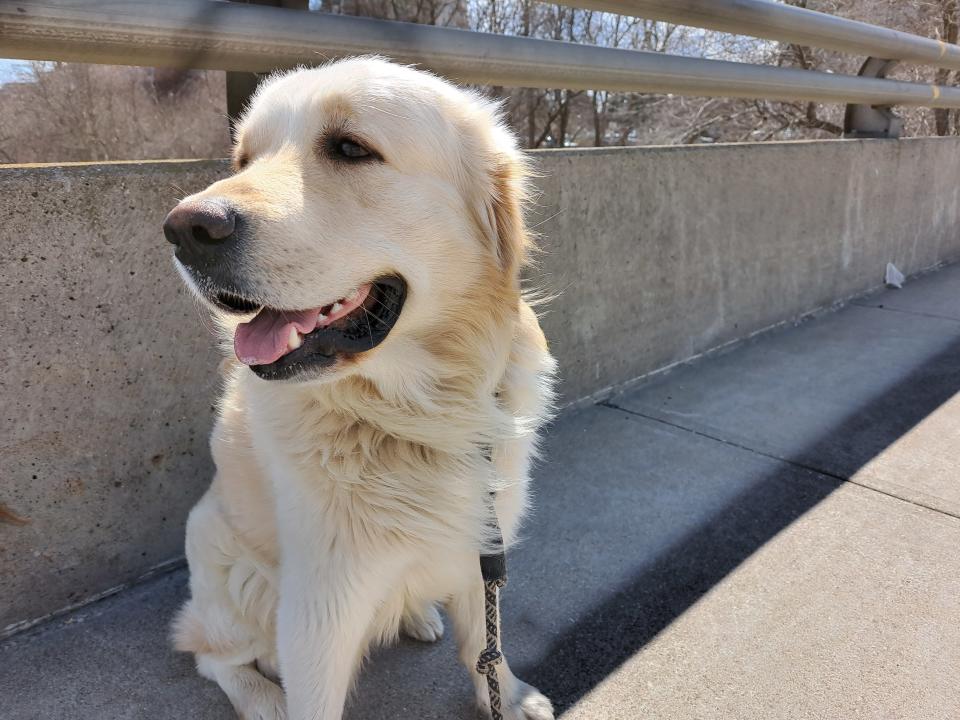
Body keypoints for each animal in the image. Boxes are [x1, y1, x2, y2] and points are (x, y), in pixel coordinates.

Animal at [164, 57, 556, 720]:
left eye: (350, 148)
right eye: (244, 159)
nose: (186, 228)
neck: (417, 412)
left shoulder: (483, 539)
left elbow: (485, 638)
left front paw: (506, 693)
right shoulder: (319, 608)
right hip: (232, 572)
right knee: (213, 655)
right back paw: (262, 698)